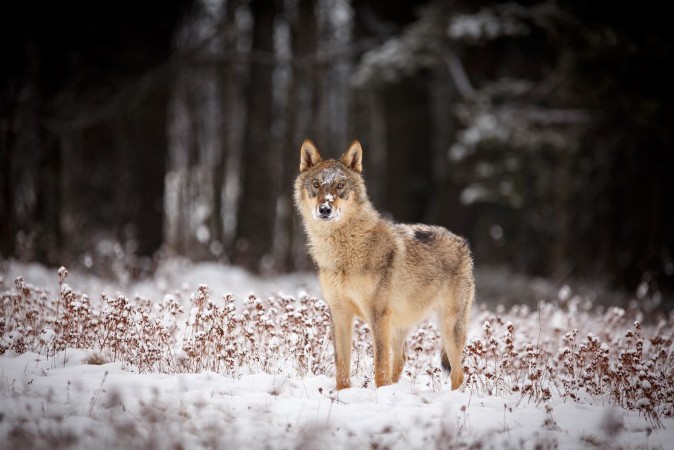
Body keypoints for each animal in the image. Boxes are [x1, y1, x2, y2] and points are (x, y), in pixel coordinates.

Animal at [294, 139, 475, 390]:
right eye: (316, 184)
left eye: (340, 185)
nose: (325, 209)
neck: (344, 250)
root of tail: (462, 242)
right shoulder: (339, 313)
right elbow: (342, 367)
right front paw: (342, 393)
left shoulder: (377, 315)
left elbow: (379, 367)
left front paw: (379, 394)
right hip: (398, 326)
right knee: (401, 360)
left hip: (448, 329)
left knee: (458, 374)